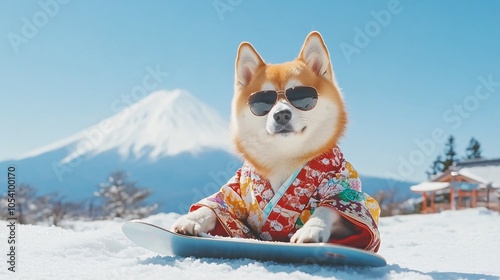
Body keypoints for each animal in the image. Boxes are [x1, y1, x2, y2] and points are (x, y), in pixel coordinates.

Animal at [174, 31, 380, 252]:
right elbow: (215, 207)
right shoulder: (236, 192)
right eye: (262, 102)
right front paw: (191, 219)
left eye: (301, 96)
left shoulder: (343, 187)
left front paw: (312, 229)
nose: (281, 114)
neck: (285, 157)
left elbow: (329, 208)